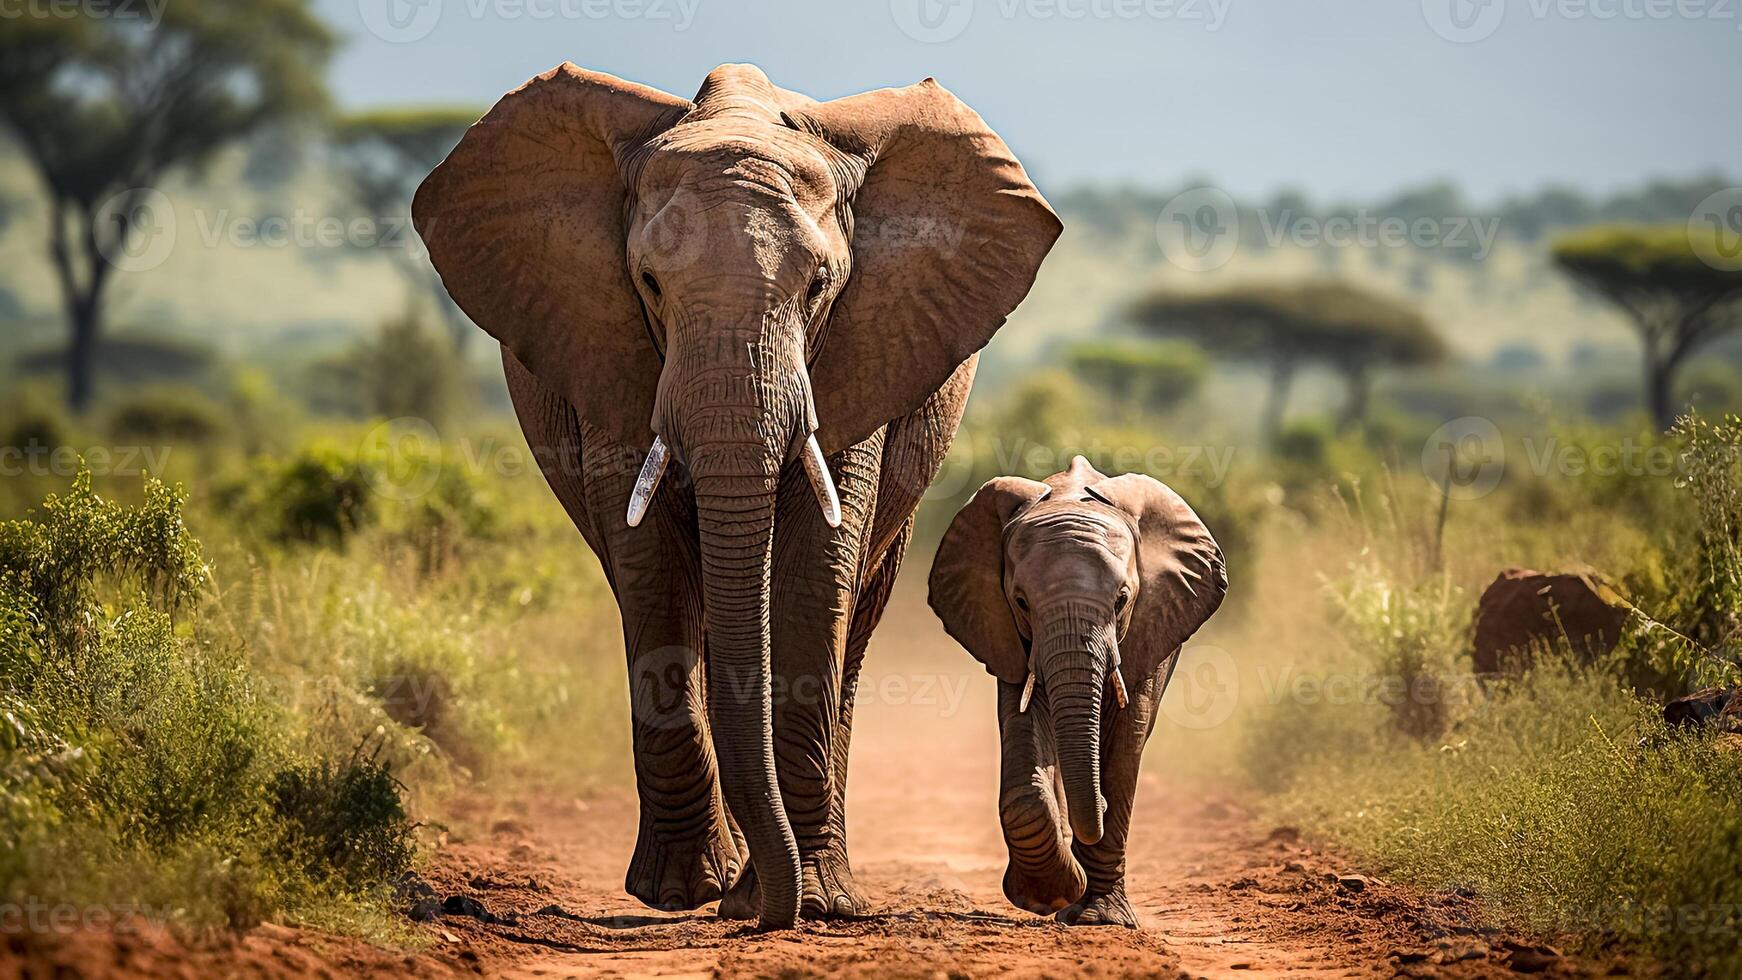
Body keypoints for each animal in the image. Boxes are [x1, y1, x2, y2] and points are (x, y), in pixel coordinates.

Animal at [412, 65, 1052, 933]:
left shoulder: (863, 344)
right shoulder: (612, 352)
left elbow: (819, 567)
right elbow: (648, 562)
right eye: (649, 284)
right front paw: (685, 893)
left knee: (852, 615)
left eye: (819, 287)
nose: (765, 912)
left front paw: (809, 902)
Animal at [926, 456, 1226, 926]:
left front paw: (1098, 918)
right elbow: (1025, 728)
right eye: (1021, 601)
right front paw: (1050, 895)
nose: (1096, 805)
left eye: (1122, 599)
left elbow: (1127, 743)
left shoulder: (1151, 625)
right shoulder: (1009, 634)